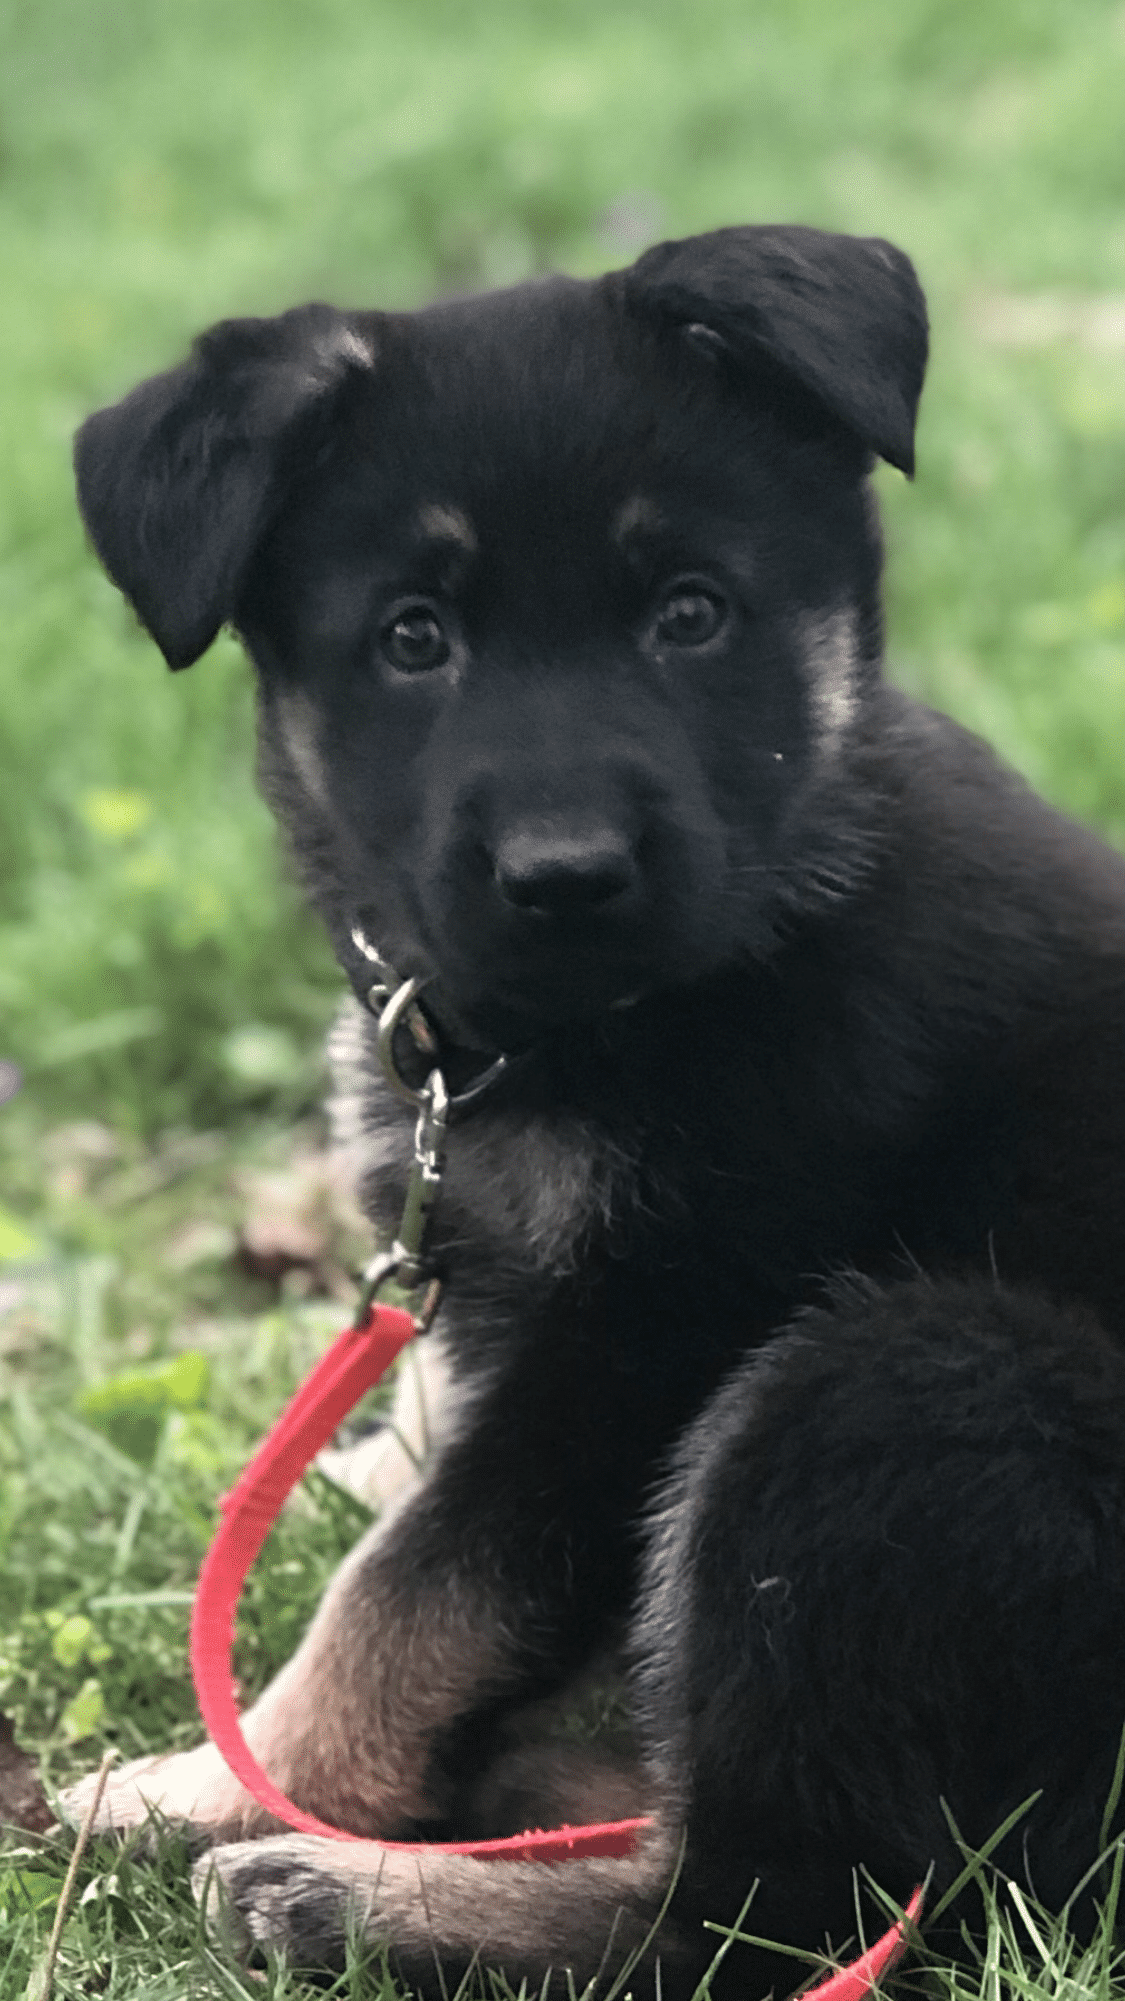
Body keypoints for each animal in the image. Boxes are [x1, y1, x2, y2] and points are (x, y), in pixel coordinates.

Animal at [65, 227, 1120, 1992]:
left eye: (689, 615)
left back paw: (354, 1889)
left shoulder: (644, 1338)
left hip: (895, 1372)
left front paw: (219, 1778)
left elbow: (413, 1586)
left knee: (778, 1909)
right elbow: (413, 1471)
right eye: (414, 637)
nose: (566, 876)